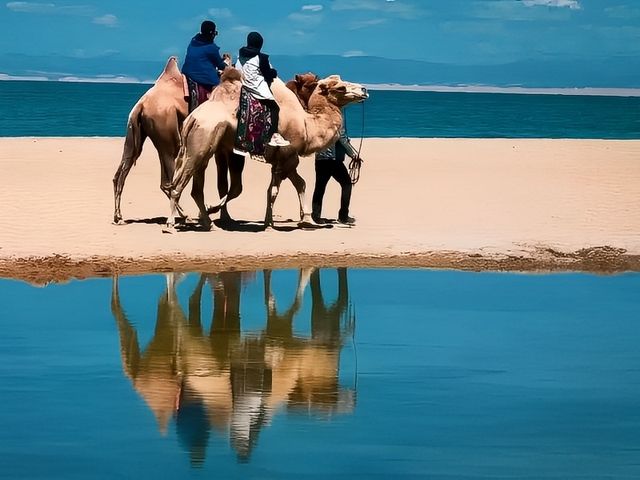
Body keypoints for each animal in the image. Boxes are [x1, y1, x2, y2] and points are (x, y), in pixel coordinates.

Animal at [165, 72, 368, 232]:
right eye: (341, 87)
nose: (364, 89)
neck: (307, 126)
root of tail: (192, 119)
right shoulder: (285, 158)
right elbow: (274, 191)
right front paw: (270, 225)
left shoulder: (286, 159)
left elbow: (298, 184)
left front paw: (305, 220)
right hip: (202, 143)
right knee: (178, 184)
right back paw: (171, 224)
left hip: (203, 147)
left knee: (195, 188)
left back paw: (207, 222)